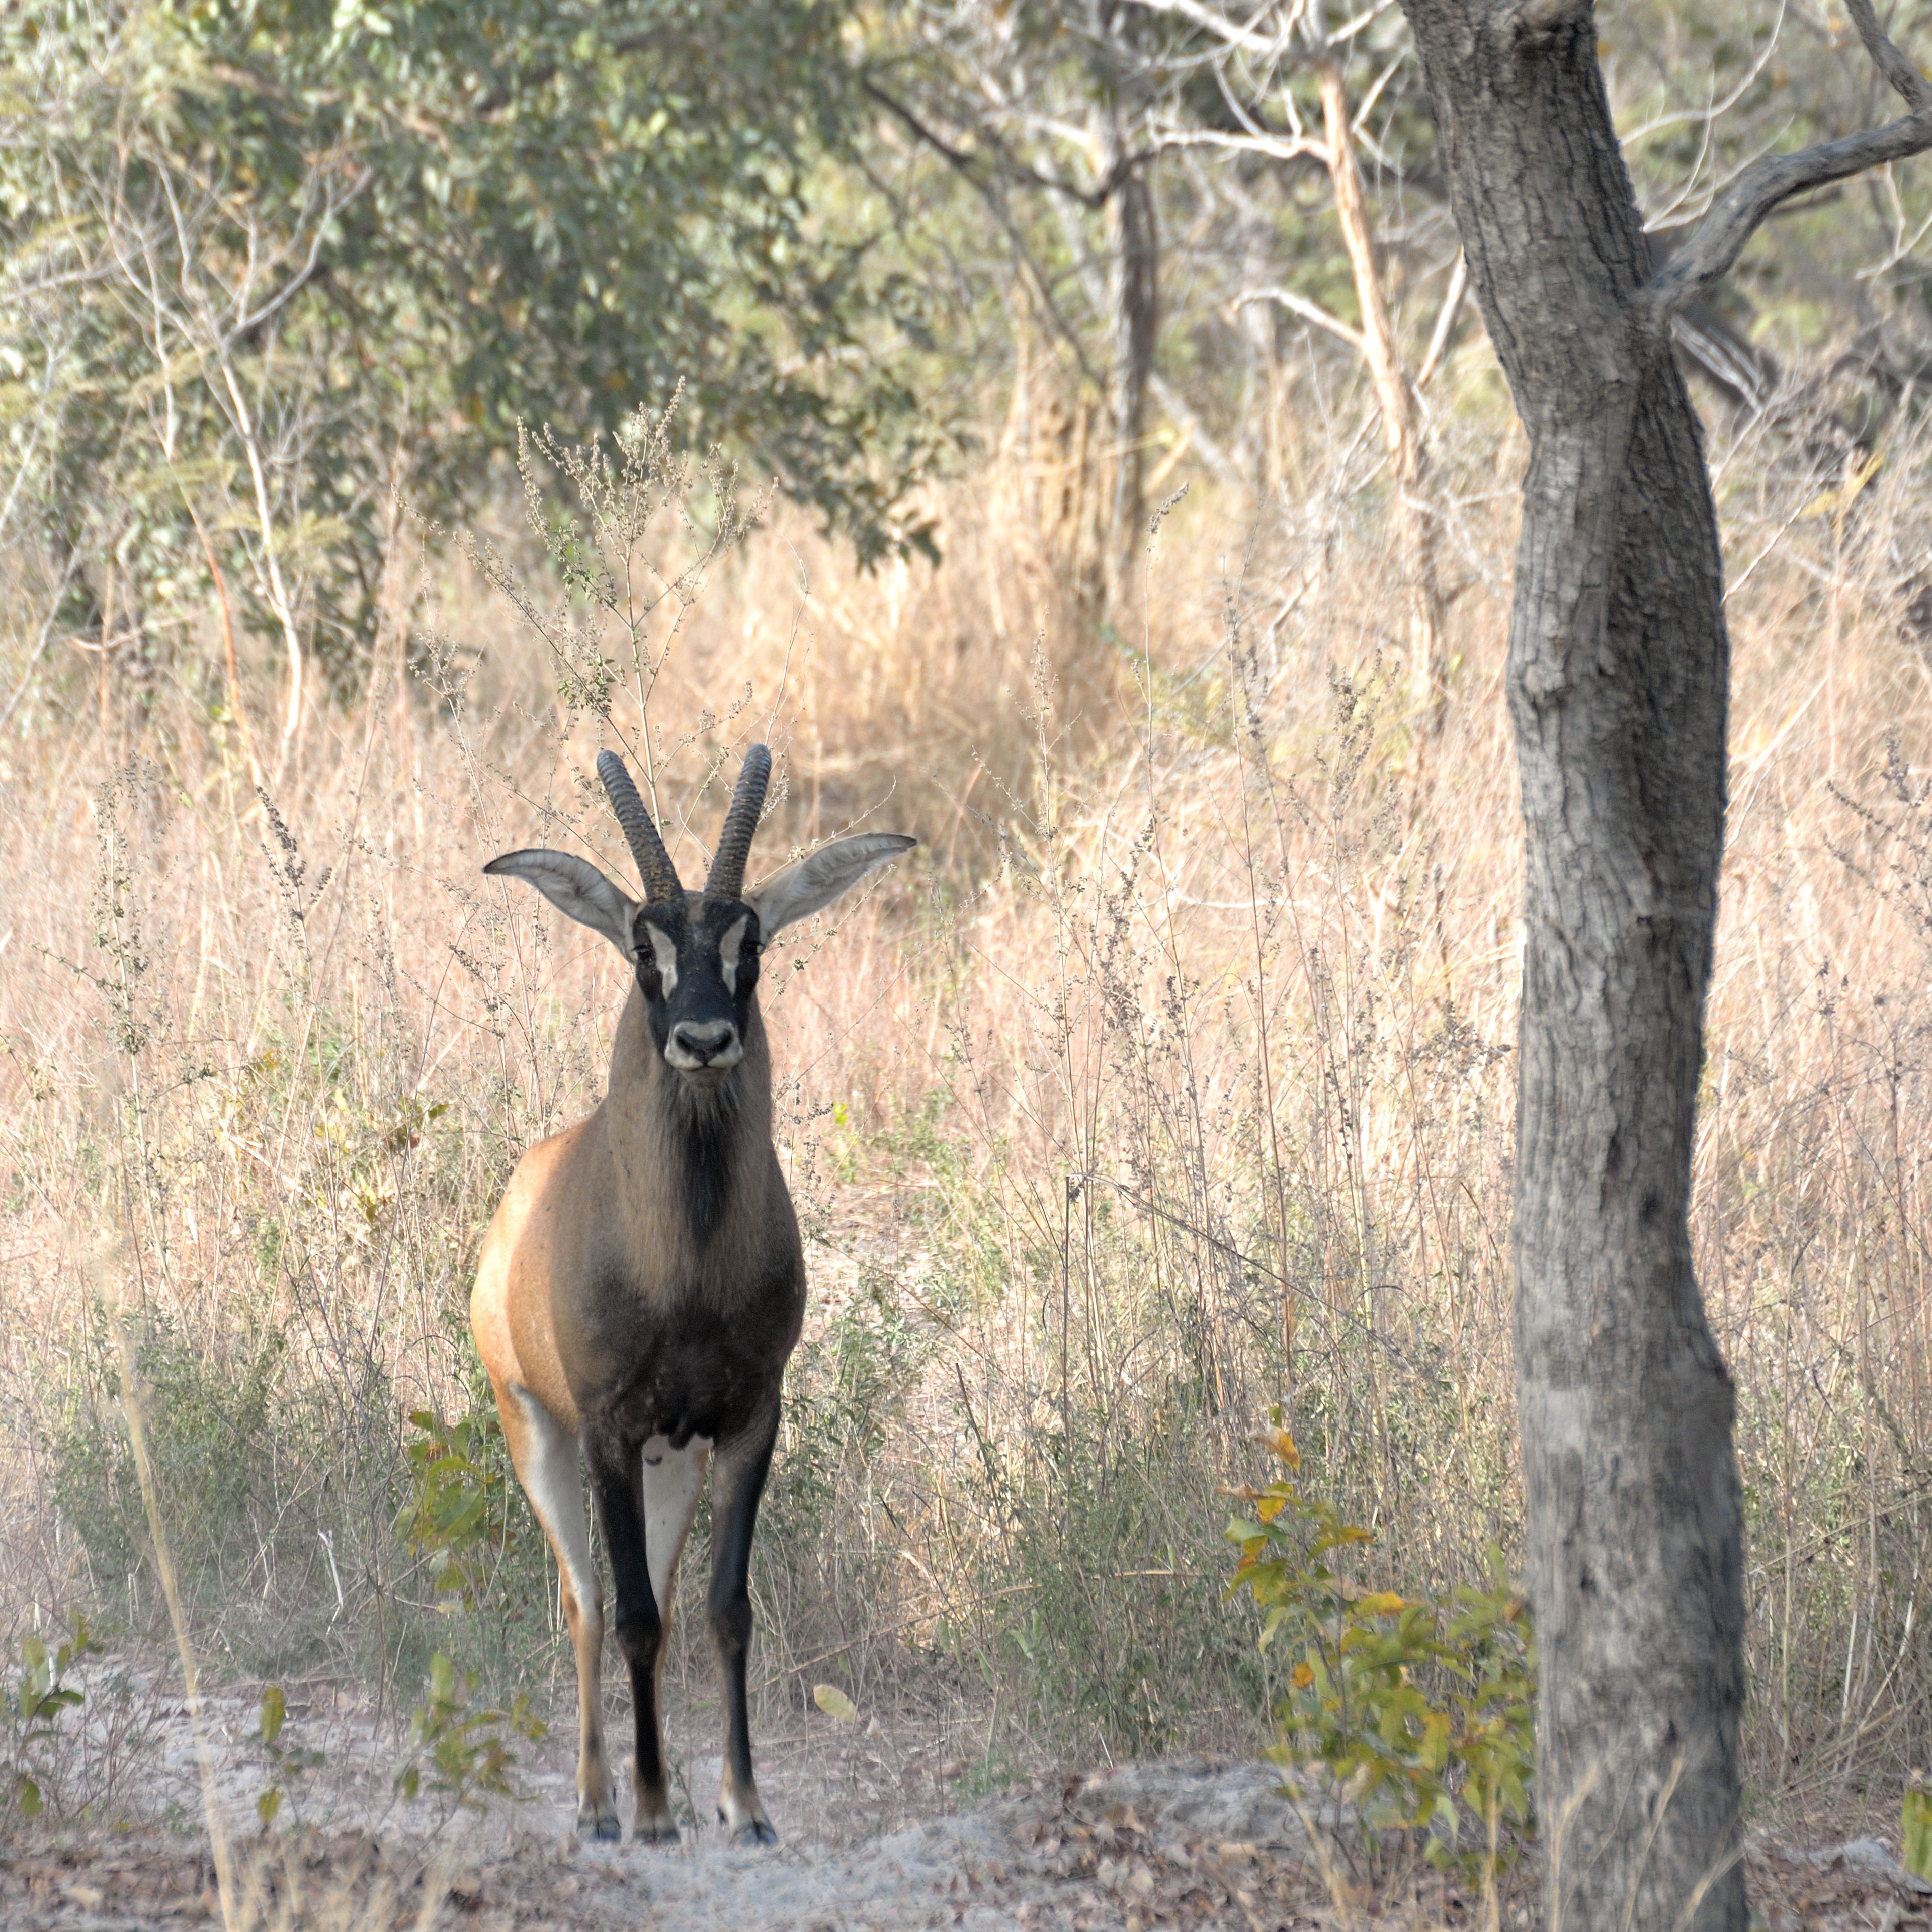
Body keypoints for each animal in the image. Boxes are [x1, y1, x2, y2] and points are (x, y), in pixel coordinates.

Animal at [471, 745, 915, 1846]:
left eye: (750, 938)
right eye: (644, 941)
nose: (705, 1038)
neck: (688, 1274)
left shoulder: (751, 1420)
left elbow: (723, 1608)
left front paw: (743, 1804)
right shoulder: (606, 1428)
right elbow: (627, 1612)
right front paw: (652, 1810)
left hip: (672, 1460)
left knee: (662, 1606)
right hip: (537, 1432)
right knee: (587, 1601)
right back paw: (599, 1802)